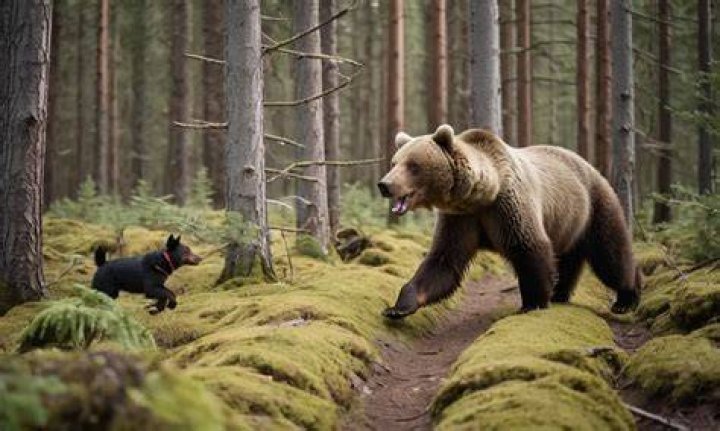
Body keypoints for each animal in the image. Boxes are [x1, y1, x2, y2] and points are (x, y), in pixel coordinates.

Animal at [377, 124, 641, 319]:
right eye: (394, 162)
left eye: (413, 165)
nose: (384, 184)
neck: (480, 195)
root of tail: (591, 166)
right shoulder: (461, 219)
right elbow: (443, 260)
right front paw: (398, 306)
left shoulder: (506, 207)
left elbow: (529, 247)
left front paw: (533, 302)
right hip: (568, 223)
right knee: (569, 258)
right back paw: (560, 292)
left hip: (594, 206)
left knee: (610, 255)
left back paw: (627, 297)